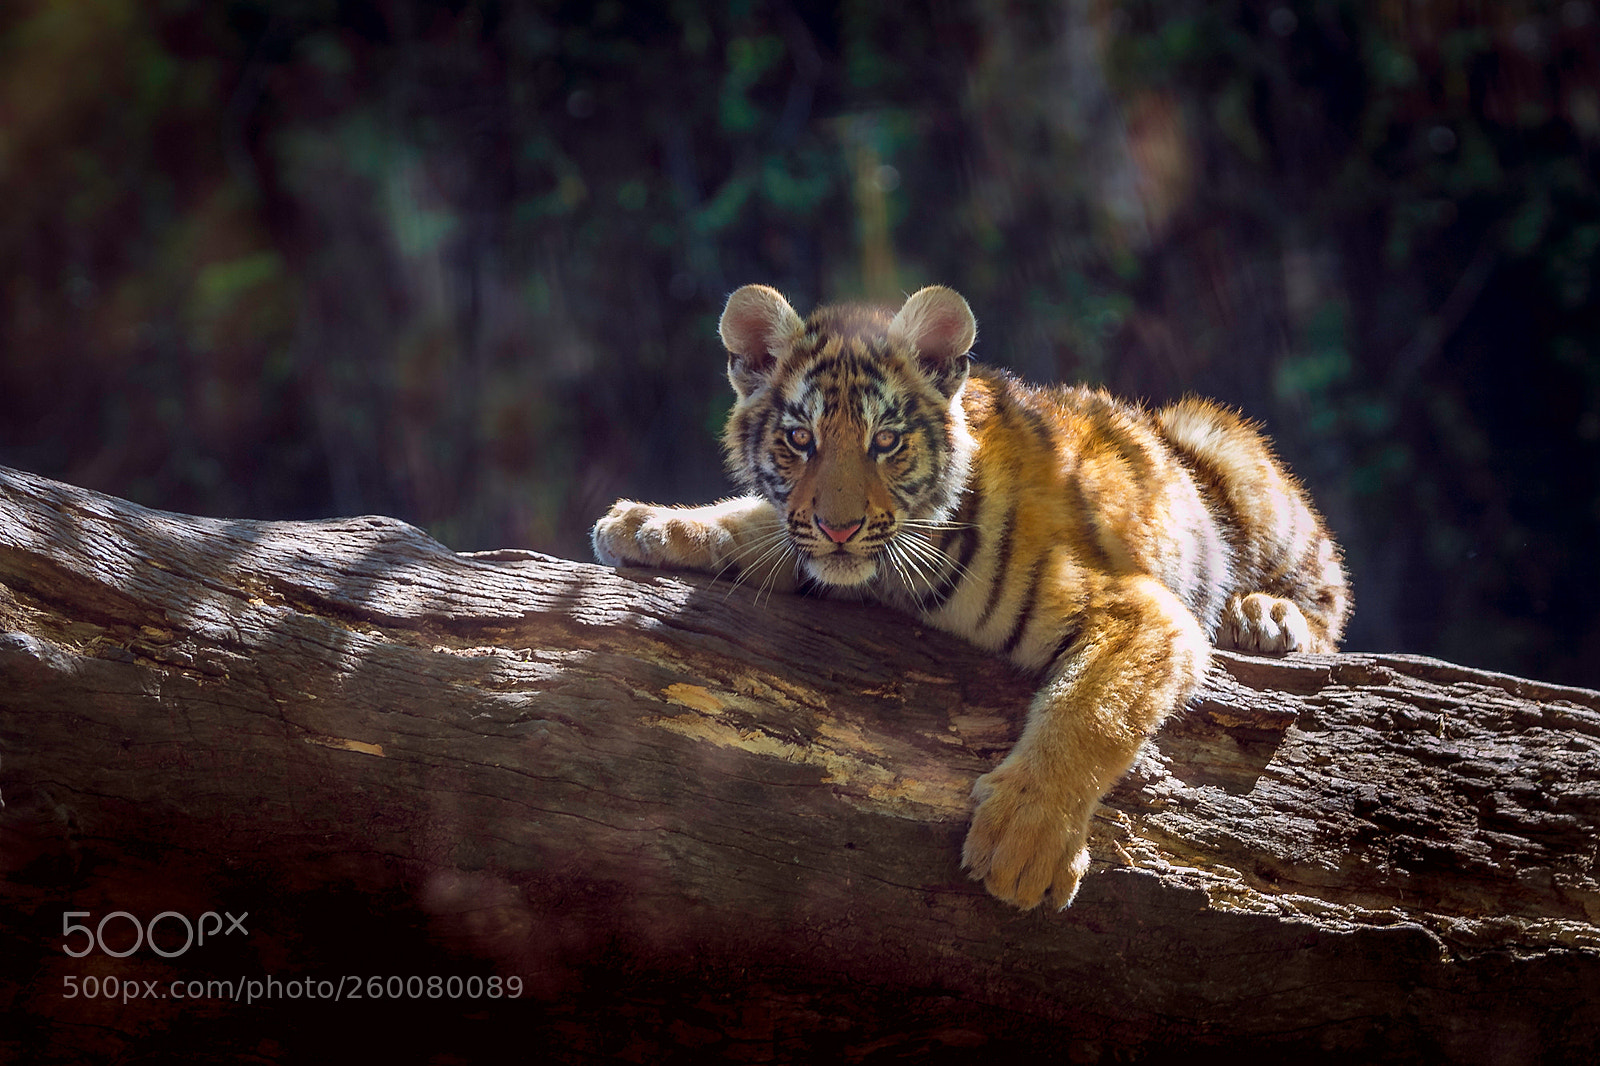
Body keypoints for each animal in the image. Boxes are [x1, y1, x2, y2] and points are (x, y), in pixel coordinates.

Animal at [592, 284, 1350, 910]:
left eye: (886, 441)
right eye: (799, 439)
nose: (839, 528)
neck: (894, 572)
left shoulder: (1143, 609)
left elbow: (1091, 709)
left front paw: (1024, 842)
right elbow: (755, 524)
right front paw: (647, 524)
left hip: (1229, 457)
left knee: (1329, 587)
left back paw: (1266, 615)